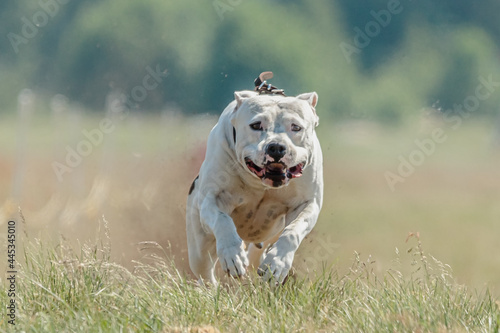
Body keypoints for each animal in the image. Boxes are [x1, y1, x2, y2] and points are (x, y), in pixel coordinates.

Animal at [186, 73, 322, 282]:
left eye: (296, 127)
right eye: (256, 125)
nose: (276, 147)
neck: (262, 184)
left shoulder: (308, 204)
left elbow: (293, 231)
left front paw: (277, 262)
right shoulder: (213, 199)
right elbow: (222, 220)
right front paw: (232, 255)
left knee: (258, 253)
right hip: (198, 247)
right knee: (205, 273)